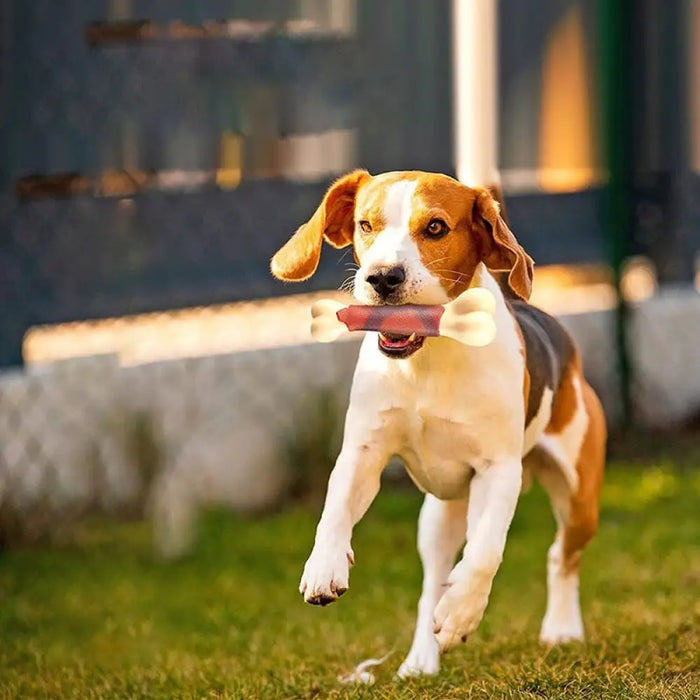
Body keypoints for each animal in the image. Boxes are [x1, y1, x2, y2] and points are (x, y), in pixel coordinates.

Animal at [270, 170, 604, 680]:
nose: (382, 277)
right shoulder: (363, 453)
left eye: (435, 228)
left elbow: (485, 552)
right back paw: (421, 658)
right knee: (432, 584)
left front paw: (463, 613)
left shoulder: (499, 471)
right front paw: (324, 566)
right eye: (365, 224)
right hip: (438, 516)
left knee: (558, 555)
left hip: (579, 498)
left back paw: (559, 628)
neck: (428, 354)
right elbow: (335, 509)